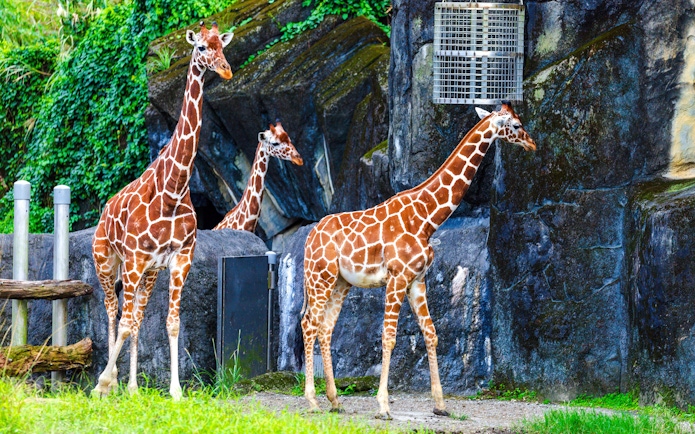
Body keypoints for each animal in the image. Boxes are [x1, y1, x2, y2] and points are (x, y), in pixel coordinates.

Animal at [91, 22, 233, 400]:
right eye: (200, 47)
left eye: (222, 45)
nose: (225, 70)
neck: (174, 188)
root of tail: (104, 211)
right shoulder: (135, 258)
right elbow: (124, 322)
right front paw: (103, 383)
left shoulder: (179, 258)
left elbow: (171, 323)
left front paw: (175, 390)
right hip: (107, 261)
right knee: (112, 311)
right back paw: (109, 383)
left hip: (148, 273)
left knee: (136, 318)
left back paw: (132, 387)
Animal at [301, 103, 536, 418]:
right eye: (515, 124)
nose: (532, 144)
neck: (426, 219)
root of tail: (309, 238)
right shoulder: (397, 277)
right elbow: (389, 337)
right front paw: (383, 406)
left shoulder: (417, 280)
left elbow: (431, 333)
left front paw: (440, 405)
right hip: (320, 277)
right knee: (308, 324)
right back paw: (313, 401)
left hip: (340, 282)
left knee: (325, 328)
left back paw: (335, 400)